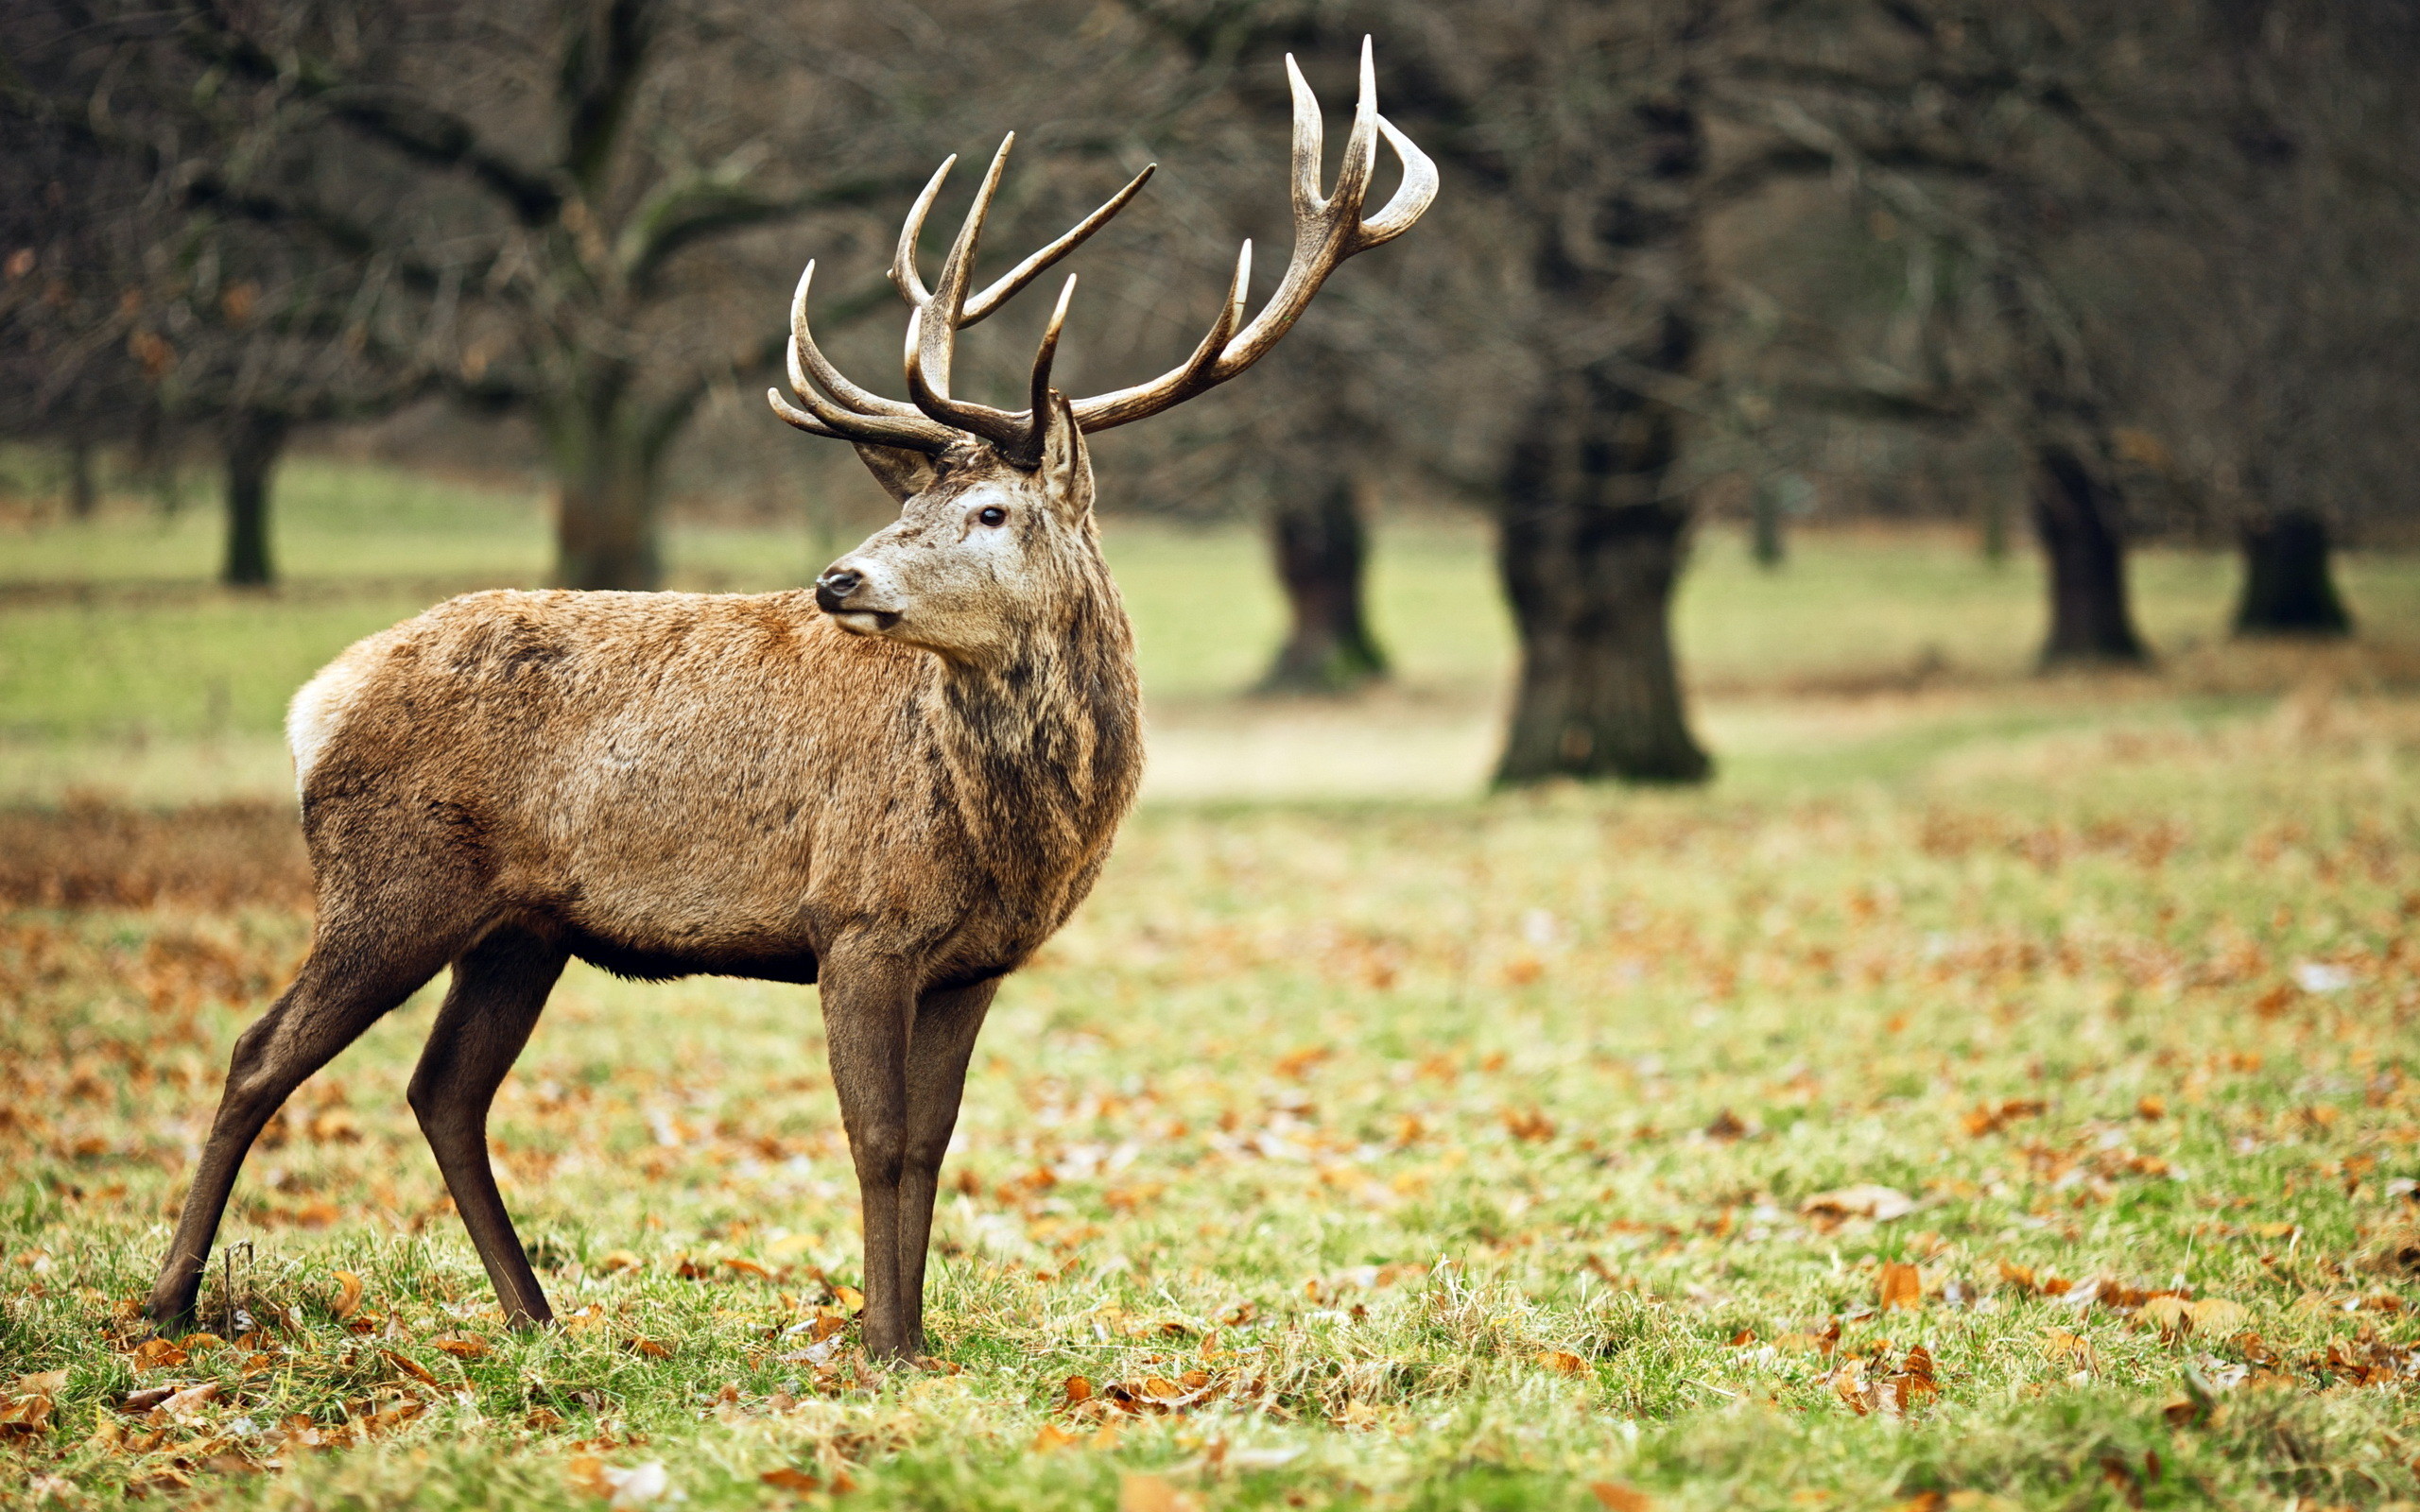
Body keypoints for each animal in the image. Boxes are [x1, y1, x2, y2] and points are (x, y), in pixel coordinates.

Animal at [144, 42, 1434, 1362]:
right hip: (391, 878)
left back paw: (538, 1315)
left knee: (442, 1088)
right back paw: (170, 1300)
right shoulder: (856, 920)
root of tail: (315, 700)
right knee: (260, 1052)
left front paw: (914, 1339)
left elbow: (933, 1143)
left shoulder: (974, 962)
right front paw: (877, 1343)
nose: (839, 577)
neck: (1012, 837)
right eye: (911, 502)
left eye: (990, 510)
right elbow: (875, 1139)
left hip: (522, 927)